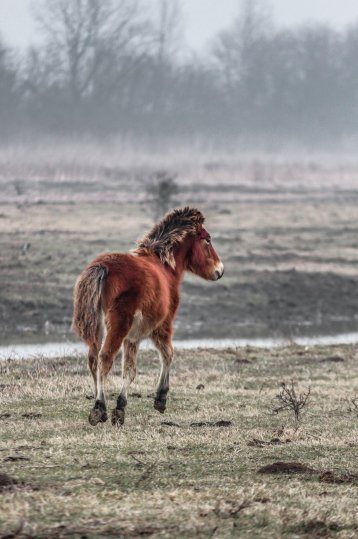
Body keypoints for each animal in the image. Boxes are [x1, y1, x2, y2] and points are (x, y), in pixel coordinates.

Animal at [72, 207, 224, 426]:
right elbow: (167, 354)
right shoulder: (162, 326)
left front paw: (120, 407)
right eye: (208, 239)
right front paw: (160, 398)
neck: (165, 266)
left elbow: (129, 370)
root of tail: (103, 267)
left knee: (93, 360)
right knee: (105, 358)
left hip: (98, 328)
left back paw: (99, 404)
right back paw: (99, 407)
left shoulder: (132, 337)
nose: (220, 270)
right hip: (118, 327)